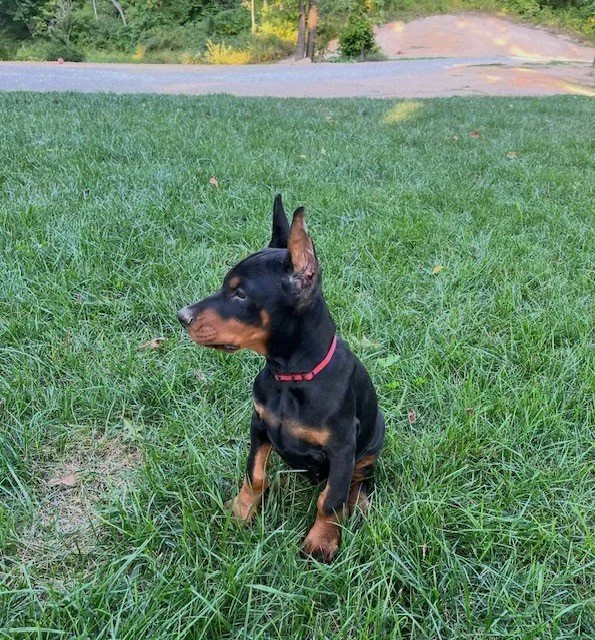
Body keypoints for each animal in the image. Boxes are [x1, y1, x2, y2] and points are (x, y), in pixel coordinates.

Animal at [178, 195, 385, 562]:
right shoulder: (259, 424)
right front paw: (242, 511)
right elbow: (254, 474)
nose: (181, 316)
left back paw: (357, 502)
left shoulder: (343, 445)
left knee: (356, 478)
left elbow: (330, 499)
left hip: (376, 436)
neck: (291, 376)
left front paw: (321, 542)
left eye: (240, 294)